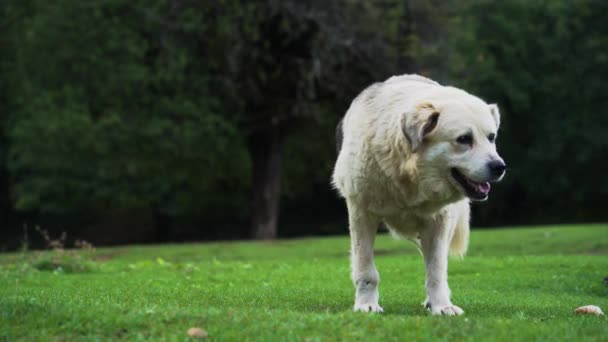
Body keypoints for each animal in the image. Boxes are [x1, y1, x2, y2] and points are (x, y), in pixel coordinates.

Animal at [330, 74, 506, 316]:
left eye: (491, 137)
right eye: (464, 139)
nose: (500, 167)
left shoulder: (439, 221)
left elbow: (436, 270)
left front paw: (442, 306)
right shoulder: (361, 212)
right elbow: (366, 269)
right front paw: (366, 304)